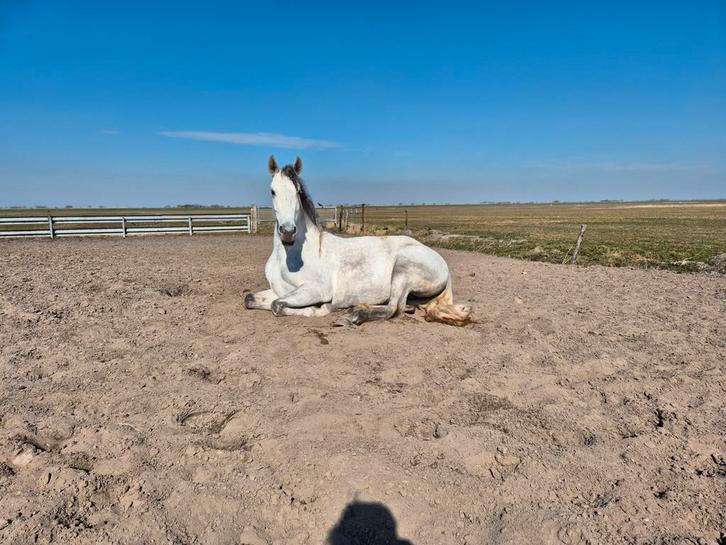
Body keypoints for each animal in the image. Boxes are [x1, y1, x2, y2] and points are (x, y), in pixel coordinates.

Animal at [244, 155, 472, 326]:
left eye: (298, 191)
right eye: (272, 191)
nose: (288, 232)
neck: (291, 257)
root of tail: (441, 262)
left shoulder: (315, 290)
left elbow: (278, 306)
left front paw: (324, 308)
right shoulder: (279, 290)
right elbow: (250, 299)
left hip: (402, 270)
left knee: (393, 309)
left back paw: (353, 316)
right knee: (401, 306)